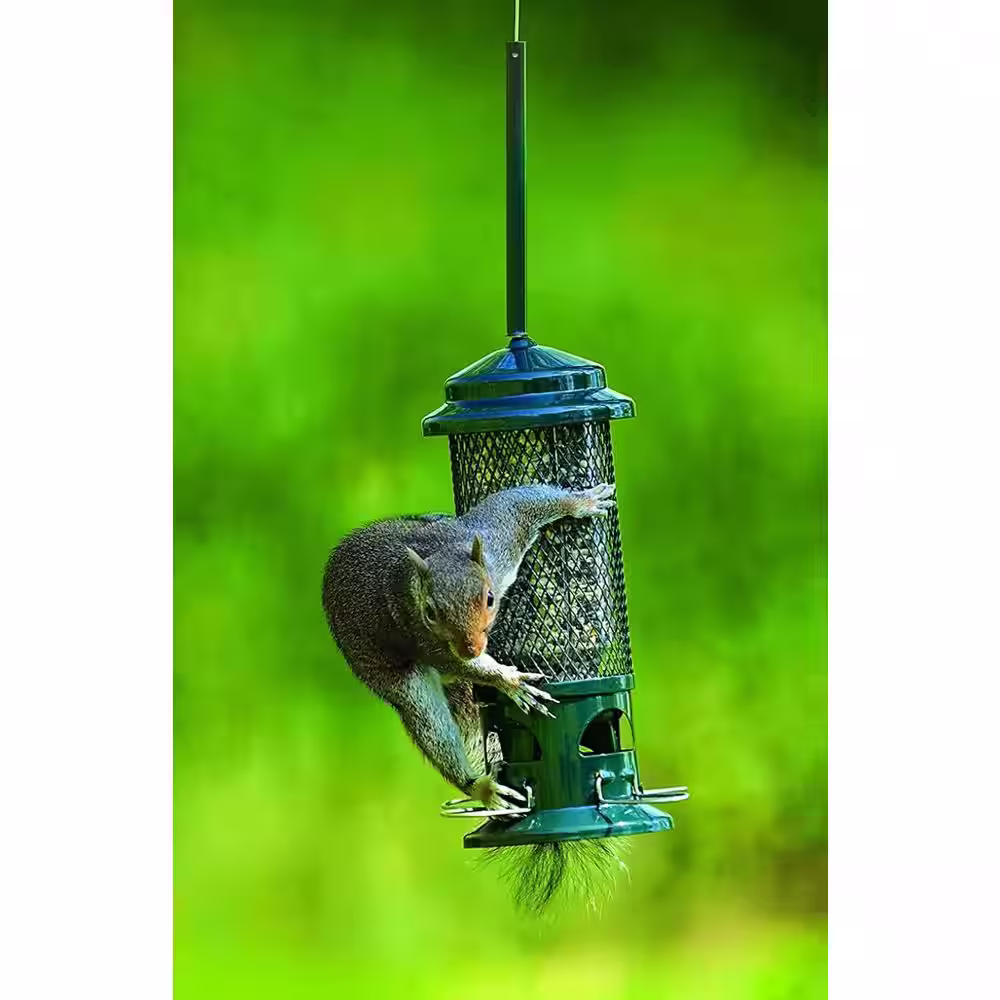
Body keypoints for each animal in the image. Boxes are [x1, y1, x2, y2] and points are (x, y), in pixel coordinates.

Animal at [321, 483, 616, 812]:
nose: (471, 649)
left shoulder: (499, 540)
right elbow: (459, 665)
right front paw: (509, 681)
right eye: (430, 613)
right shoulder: (419, 633)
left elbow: (519, 504)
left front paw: (581, 502)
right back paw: (480, 788)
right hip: (400, 682)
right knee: (430, 723)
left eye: (489, 598)